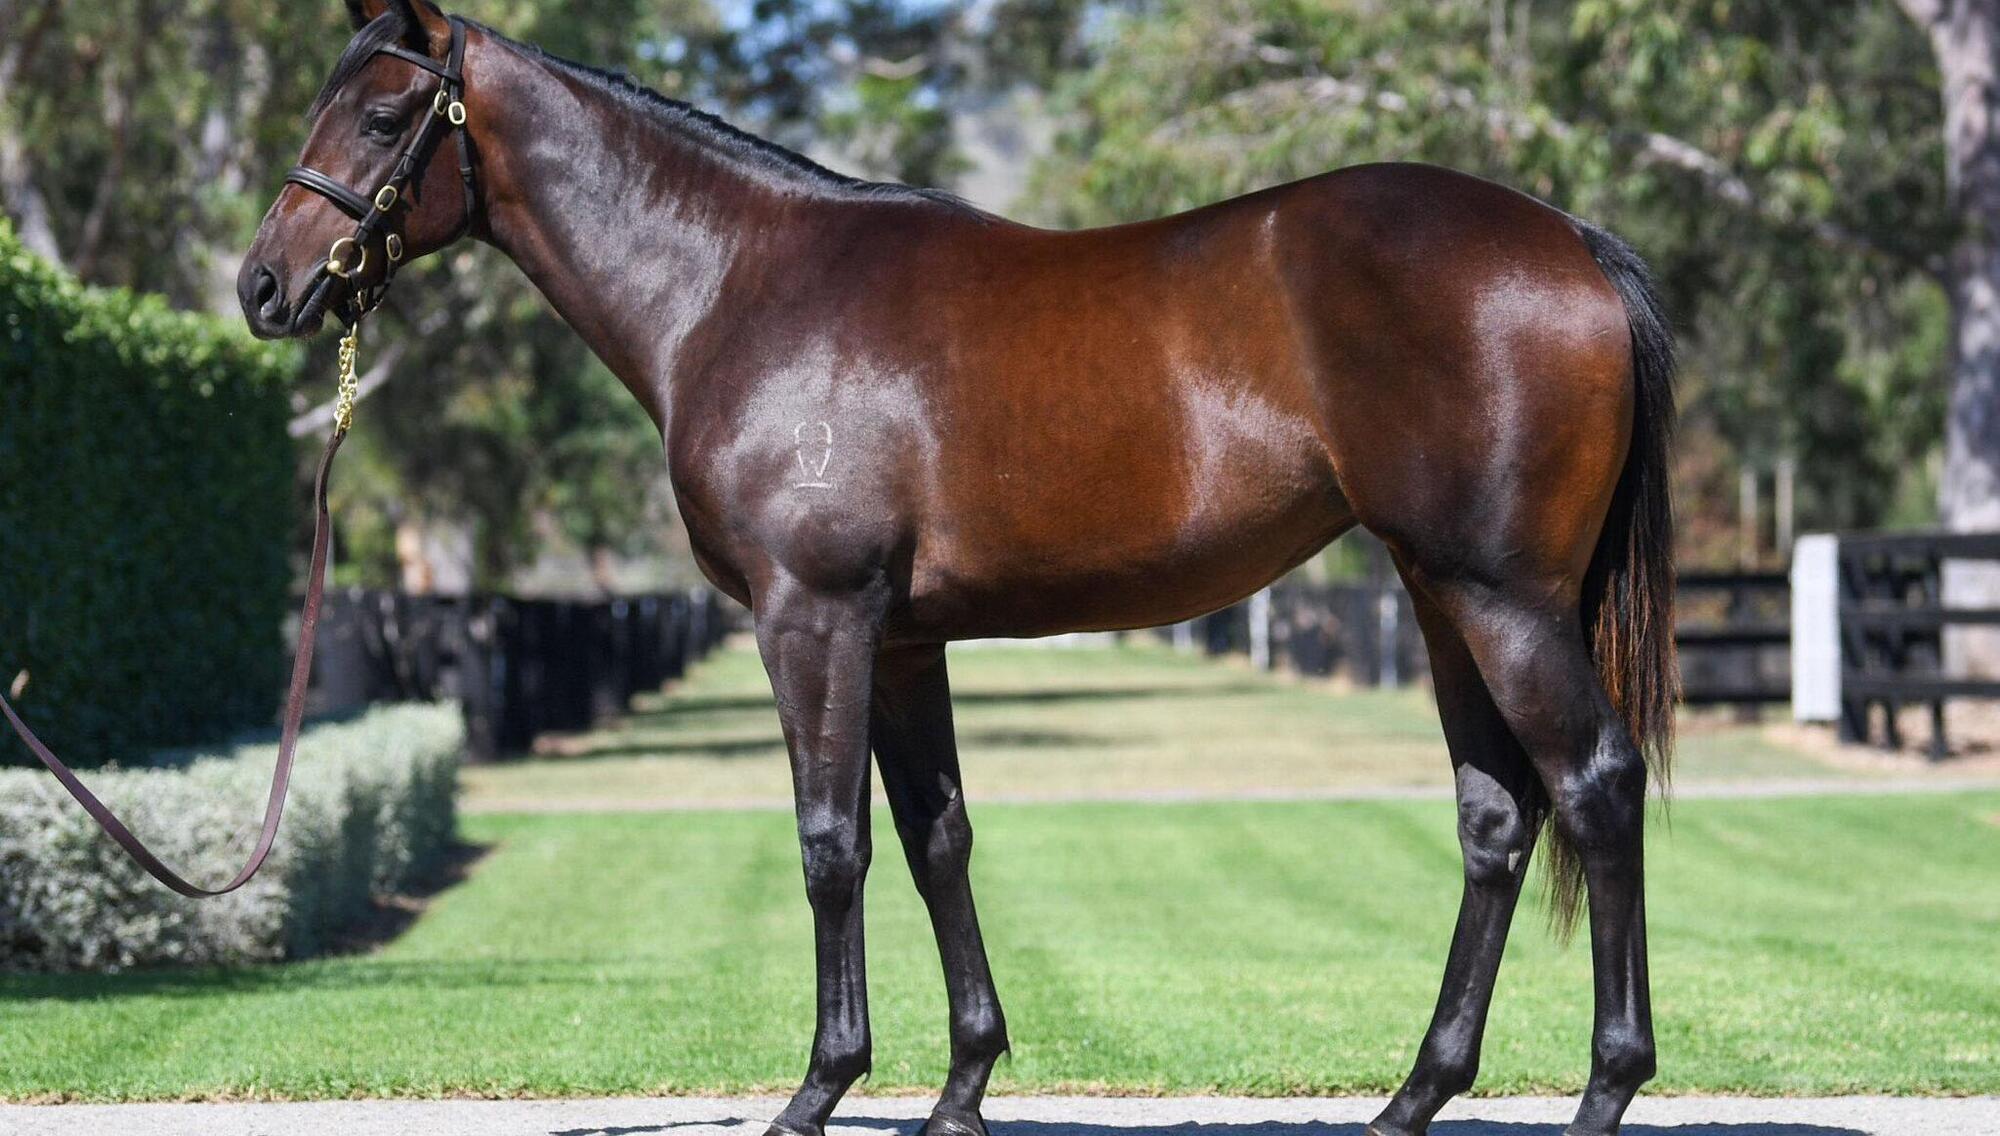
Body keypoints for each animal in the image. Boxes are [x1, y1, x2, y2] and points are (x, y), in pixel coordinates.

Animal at [238, 4, 1679, 1135]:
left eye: (383, 117)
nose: (262, 286)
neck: (735, 285)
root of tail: (1569, 242)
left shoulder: (810, 619)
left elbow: (832, 843)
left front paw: (820, 1088)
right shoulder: (899, 639)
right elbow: (939, 839)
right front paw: (961, 1089)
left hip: (1503, 601)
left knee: (1597, 786)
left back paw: (1607, 1087)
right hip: (1442, 600)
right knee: (1497, 818)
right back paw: (1412, 1097)